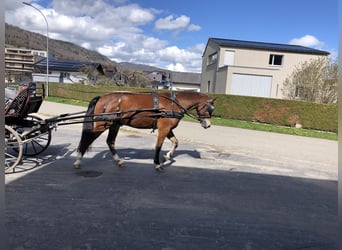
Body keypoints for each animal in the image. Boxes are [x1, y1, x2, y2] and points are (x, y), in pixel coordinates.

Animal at [73, 92, 216, 172]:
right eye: (209, 108)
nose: (208, 124)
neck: (173, 104)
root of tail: (103, 98)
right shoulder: (163, 129)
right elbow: (158, 146)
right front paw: (157, 164)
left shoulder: (168, 129)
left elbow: (176, 142)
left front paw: (166, 157)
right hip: (103, 124)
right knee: (87, 139)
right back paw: (78, 160)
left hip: (114, 124)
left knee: (110, 142)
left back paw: (119, 161)